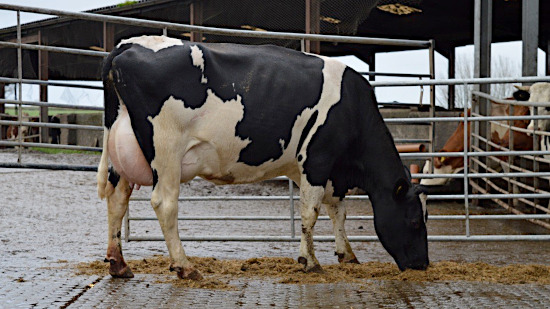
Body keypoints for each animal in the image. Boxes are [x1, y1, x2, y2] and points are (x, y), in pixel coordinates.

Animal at [96, 34, 432, 280]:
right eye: (416, 220)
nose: (423, 265)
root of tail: (128, 45)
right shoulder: (318, 159)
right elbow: (311, 212)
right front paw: (309, 261)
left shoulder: (325, 171)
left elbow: (338, 211)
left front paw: (347, 255)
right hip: (166, 148)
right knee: (164, 204)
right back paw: (186, 266)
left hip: (123, 152)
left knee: (117, 197)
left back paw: (119, 264)